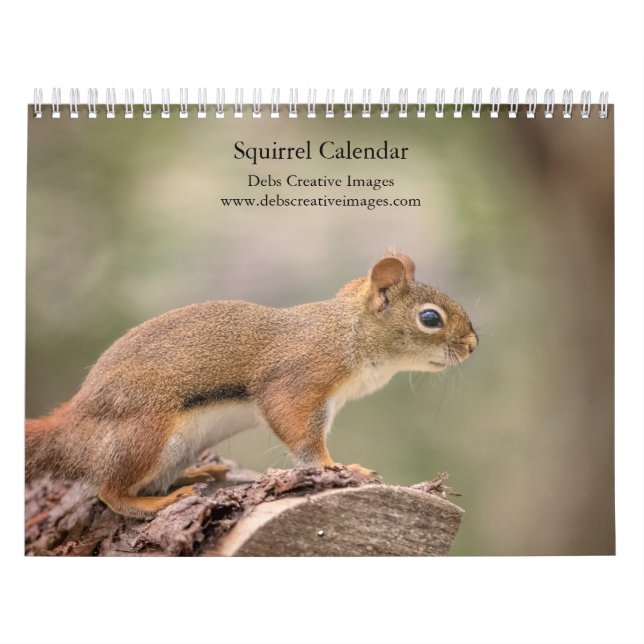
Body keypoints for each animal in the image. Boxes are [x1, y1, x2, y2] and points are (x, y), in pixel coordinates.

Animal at [26, 252, 478, 518]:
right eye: (430, 318)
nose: (473, 345)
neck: (348, 332)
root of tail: (71, 429)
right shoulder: (299, 378)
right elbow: (299, 433)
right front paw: (338, 467)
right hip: (145, 435)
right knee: (110, 493)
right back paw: (158, 499)